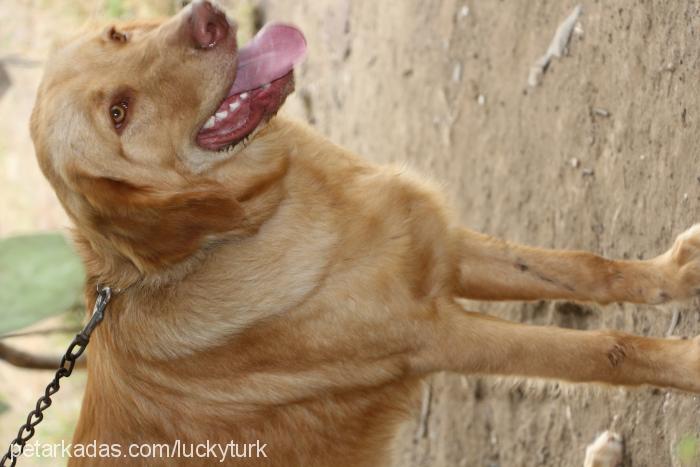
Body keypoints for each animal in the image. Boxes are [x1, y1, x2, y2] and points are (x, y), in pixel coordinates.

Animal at [26, 0, 696, 467]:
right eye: (119, 113)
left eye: (118, 35)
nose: (207, 18)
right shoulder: (440, 338)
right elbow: (606, 350)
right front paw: (687, 363)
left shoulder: (439, 248)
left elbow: (585, 267)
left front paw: (676, 276)